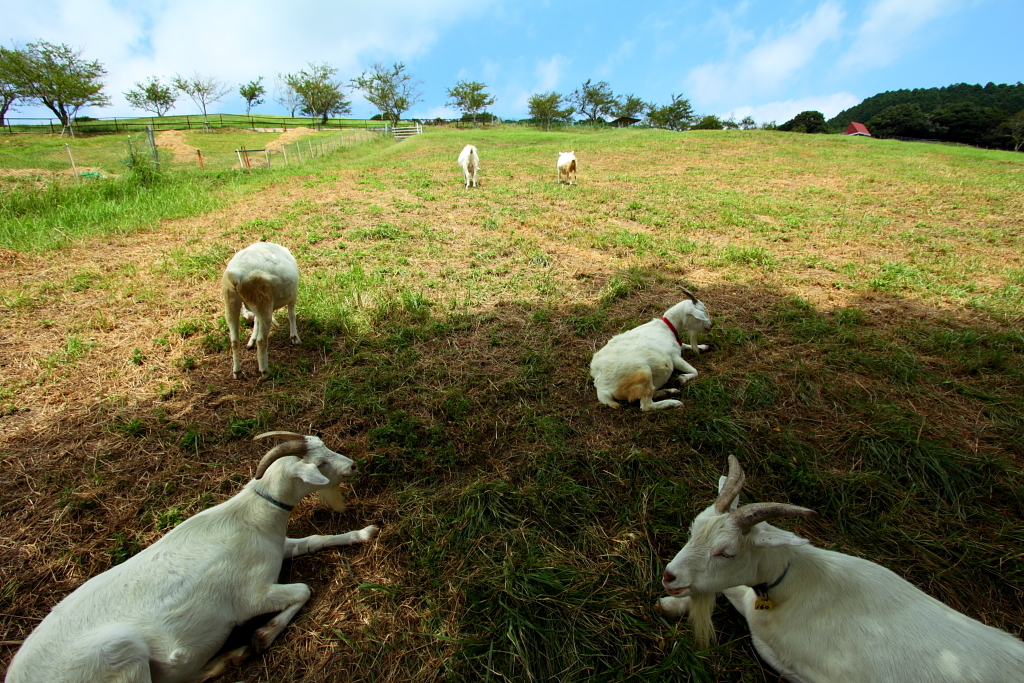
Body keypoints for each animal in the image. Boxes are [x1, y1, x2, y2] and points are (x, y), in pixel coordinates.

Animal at [4, 432, 380, 683]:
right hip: (119, 656)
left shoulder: (276, 546)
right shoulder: (250, 595)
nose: (353, 465)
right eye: (320, 463)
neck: (251, 517)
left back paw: (229, 658)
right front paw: (262, 635)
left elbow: (313, 540)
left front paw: (365, 532)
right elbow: (303, 589)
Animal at [224, 240, 299, 378]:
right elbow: (291, 314)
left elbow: (256, 321)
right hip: (262, 300)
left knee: (234, 341)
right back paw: (265, 371)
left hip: (231, 301)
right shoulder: (292, 296)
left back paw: (237, 372)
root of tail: (237, 276)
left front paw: (251, 340)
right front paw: (295, 337)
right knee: (262, 340)